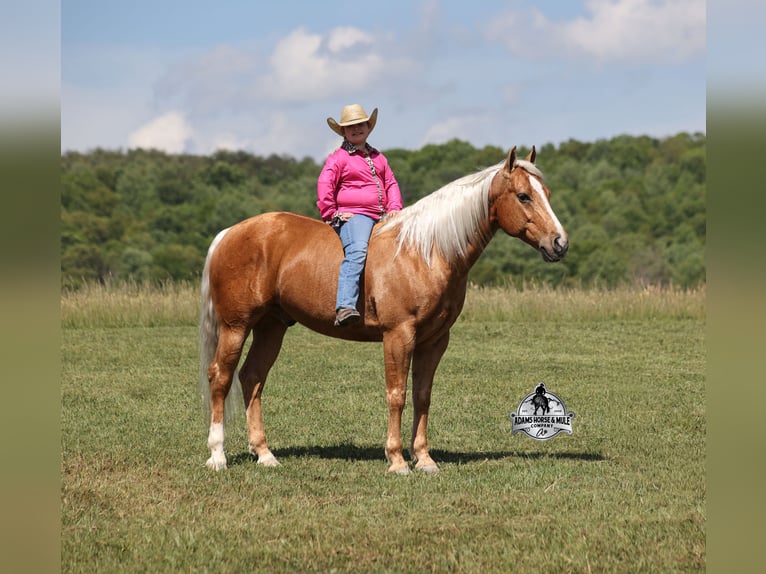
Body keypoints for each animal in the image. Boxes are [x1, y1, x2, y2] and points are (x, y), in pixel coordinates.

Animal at [199, 146, 568, 475]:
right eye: (523, 195)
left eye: (547, 192)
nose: (560, 243)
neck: (425, 252)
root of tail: (229, 233)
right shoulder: (398, 335)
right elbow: (397, 395)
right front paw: (397, 460)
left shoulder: (434, 341)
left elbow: (422, 396)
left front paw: (424, 459)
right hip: (236, 326)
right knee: (221, 377)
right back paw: (217, 456)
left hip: (271, 326)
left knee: (252, 378)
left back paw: (264, 455)